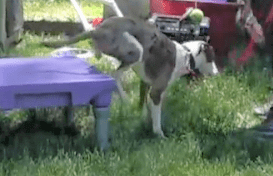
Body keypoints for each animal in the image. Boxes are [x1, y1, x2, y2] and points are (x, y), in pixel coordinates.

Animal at [41, 15, 218, 138]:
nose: (217, 73)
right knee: (114, 75)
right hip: (135, 49)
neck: (187, 55)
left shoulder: (146, 85)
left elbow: (145, 107)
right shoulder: (156, 91)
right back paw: (124, 98)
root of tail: (97, 29)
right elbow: (157, 116)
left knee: (106, 66)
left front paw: (142, 119)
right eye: (212, 58)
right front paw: (159, 133)